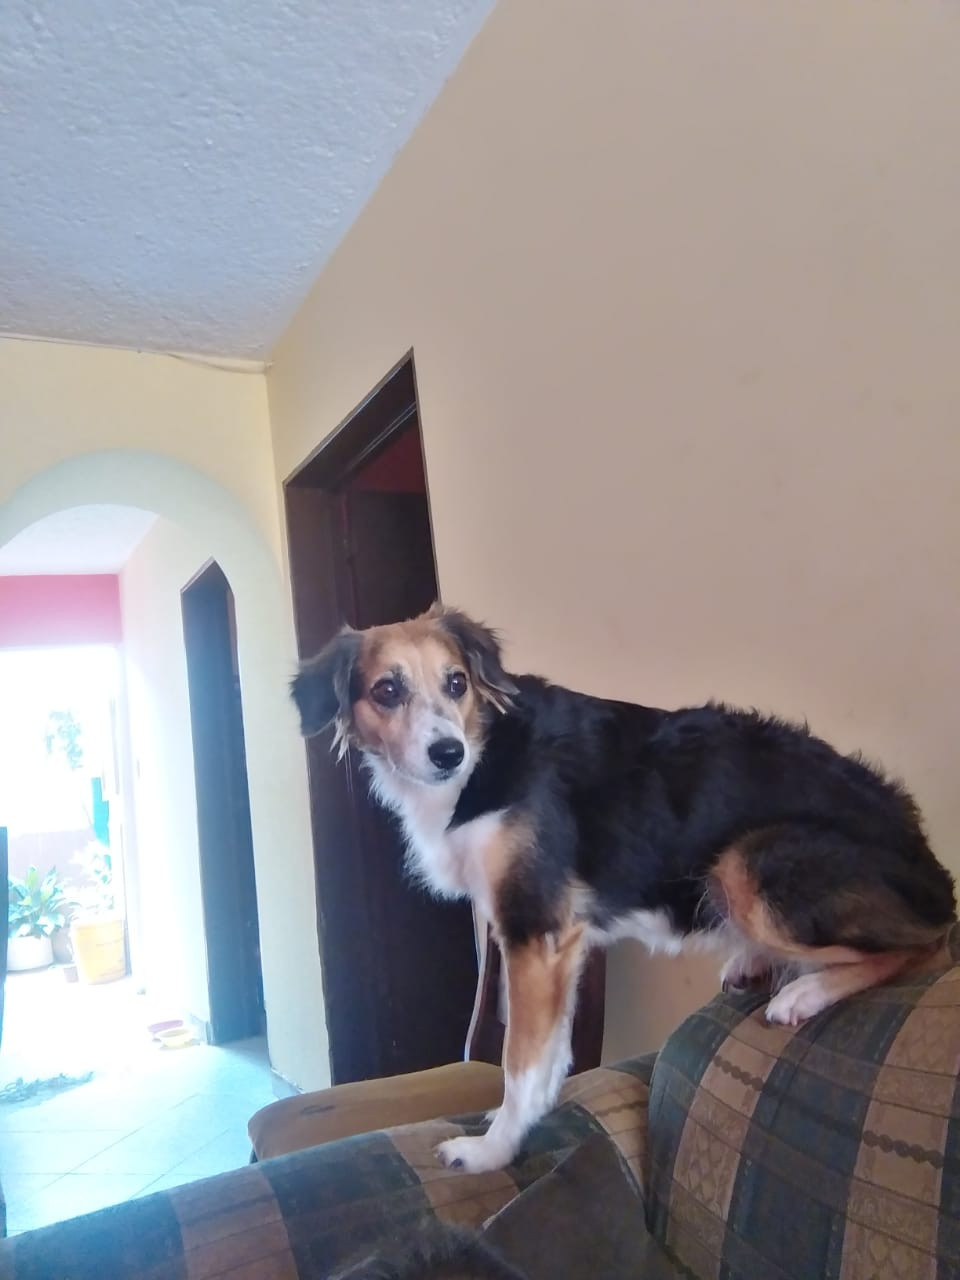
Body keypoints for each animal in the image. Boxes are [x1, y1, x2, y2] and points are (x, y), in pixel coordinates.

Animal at [291, 604, 956, 1174]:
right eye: (386, 690)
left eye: (456, 683)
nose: (446, 753)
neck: (483, 752)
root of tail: (929, 861)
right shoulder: (554, 944)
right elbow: (550, 1055)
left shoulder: (536, 929)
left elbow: (520, 1063)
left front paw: (492, 1151)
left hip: (745, 863)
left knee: (921, 945)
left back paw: (806, 992)